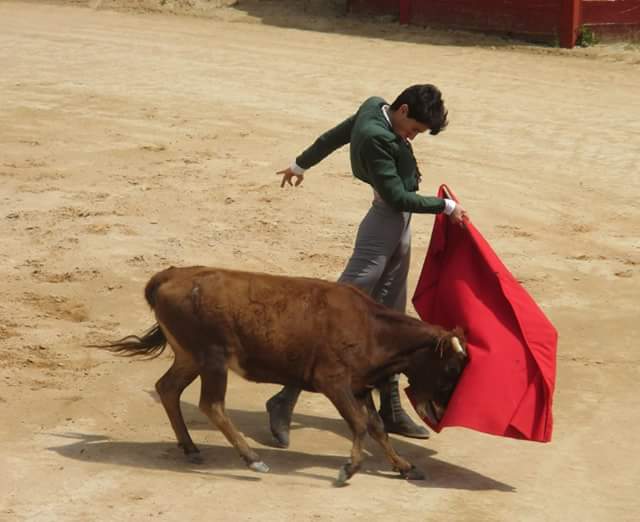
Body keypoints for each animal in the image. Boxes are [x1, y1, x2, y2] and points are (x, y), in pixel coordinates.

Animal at [101, 266, 470, 482]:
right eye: (451, 367)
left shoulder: (359, 386)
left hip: (189, 357)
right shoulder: (333, 381)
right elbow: (359, 423)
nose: (442, 412)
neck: (372, 329)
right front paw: (349, 468)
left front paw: (404, 466)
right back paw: (252, 460)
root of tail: (170, 275)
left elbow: (377, 427)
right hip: (212, 359)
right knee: (212, 405)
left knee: (168, 388)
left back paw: (191, 448)